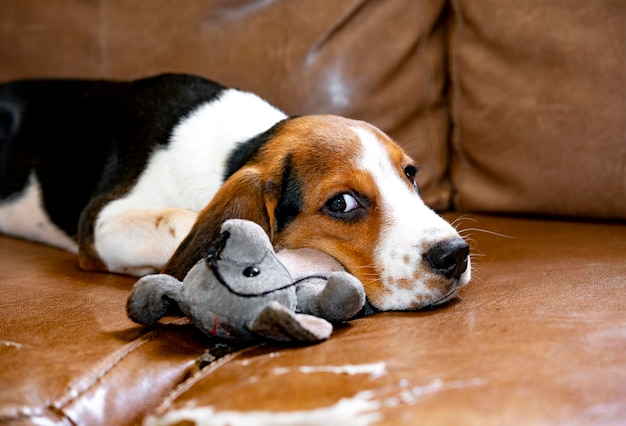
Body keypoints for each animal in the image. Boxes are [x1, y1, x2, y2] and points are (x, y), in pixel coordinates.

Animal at [0, 75, 468, 312]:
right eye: (342, 203)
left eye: (410, 175)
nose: (455, 255)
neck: (237, 149)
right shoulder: (99, 223)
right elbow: (178, 220)